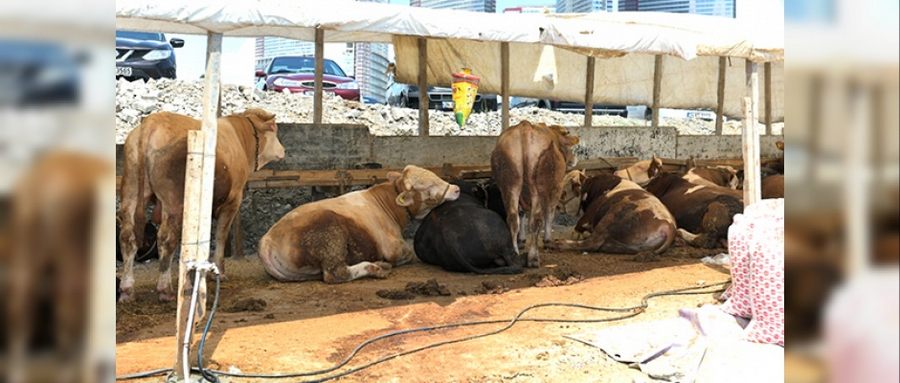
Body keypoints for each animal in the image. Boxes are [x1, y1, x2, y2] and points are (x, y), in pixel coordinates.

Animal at [118, 109, 284, 304]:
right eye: (274, 128)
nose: (283, 150)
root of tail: (151, 122)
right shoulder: (233, 201)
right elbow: (220, 236)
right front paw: (219, 272)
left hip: (131, 192)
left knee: (128, 238)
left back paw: (127, 290)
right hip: (174, 202)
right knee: (166, 239)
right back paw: (165, 289)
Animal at [258, 166, 458, 284]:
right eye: (428, 187)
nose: (456, 188)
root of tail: (267, 239)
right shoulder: (393, 248)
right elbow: (408, 254)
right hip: (329, 235)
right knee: (336, 273)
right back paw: (377, 268)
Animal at [488, 121, 580, 268]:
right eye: (569, 147)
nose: (574, 159)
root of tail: (524, 127)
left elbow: (523, 214)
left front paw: (521, 240)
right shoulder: (556, 188)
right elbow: (550, 212)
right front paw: (548, 240)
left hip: (509, 186)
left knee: (513, 218)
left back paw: (514, 253)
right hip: (538, 188)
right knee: (536, 221)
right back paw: (533, 258)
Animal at [548, 175, 676, 260]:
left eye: (563, 192)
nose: (557, 206)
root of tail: (668, 225)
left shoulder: (588, 216)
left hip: (612, 216)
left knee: (592, 243)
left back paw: (555, 243)